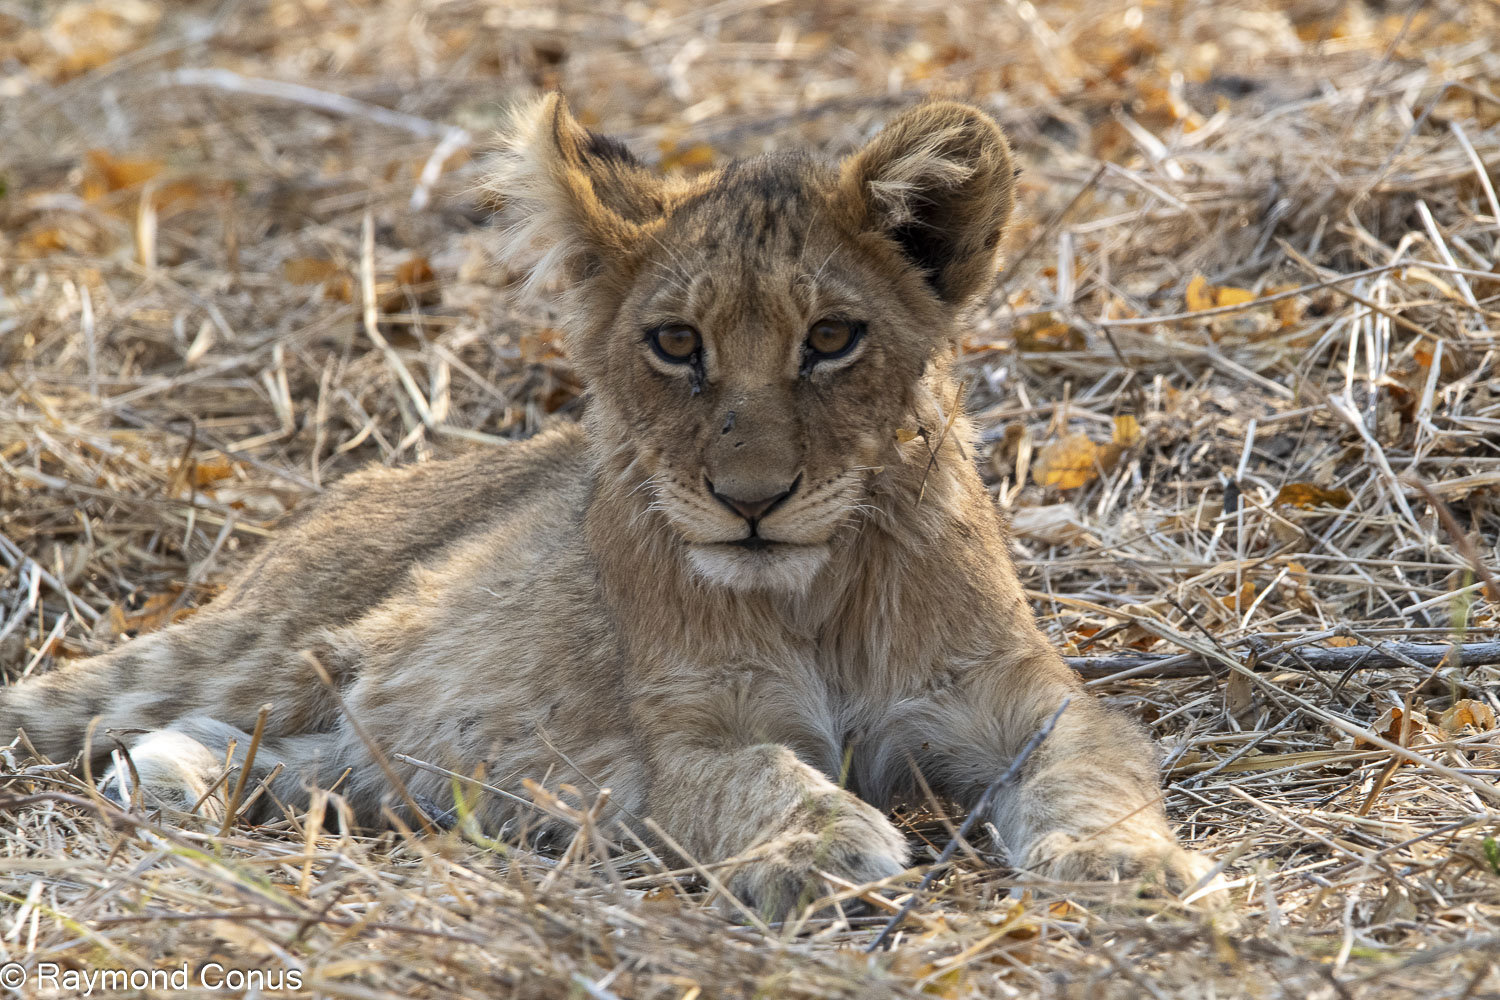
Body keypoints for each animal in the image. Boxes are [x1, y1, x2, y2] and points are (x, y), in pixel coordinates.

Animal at [0, 95, 1213, 916]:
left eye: (833, 338)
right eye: (676, 343)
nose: (752, 502)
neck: (816, 592)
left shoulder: (1022, 700)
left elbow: (1095, 762)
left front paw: (1127, 860)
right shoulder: (687, 732)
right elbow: (764, 779)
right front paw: (820, 850)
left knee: (312, 757)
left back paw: (173, 775)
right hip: (258, 646)